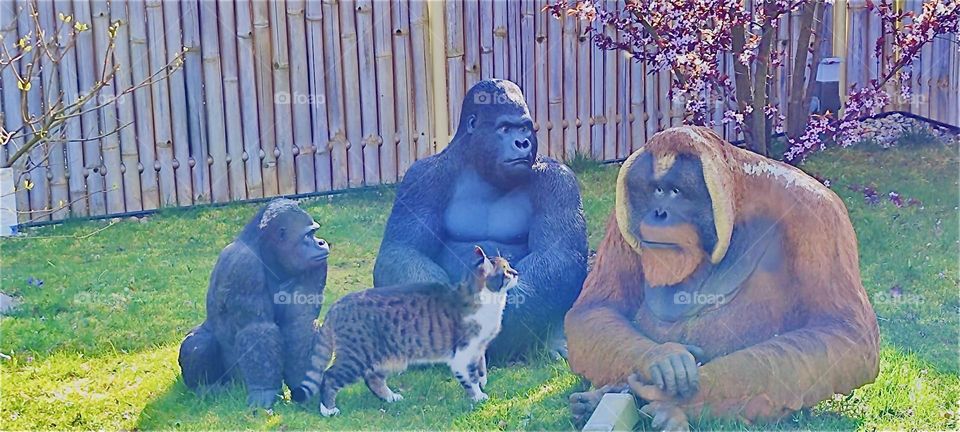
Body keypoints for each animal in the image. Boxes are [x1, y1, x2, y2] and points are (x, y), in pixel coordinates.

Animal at [177, 198, 330, 409]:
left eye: (314, 233)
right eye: (308, 235)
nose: (321, 242)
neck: (269, 255)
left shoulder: (316, 265)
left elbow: (299, 324)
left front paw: (305, 387)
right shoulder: (244, 268)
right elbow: (257, 329)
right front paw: (264, 391)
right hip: (234, 381)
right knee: (199, 343)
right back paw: (206, 388)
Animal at [372, 79, 589, 361]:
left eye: (524, 128)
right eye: (505, 128)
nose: (522, 142)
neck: (477, 163)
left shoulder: (559, 181)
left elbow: (559, 254)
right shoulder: (420, 178)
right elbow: (401, 250)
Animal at [565, 126, 879, 429]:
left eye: (676, 191)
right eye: (655, 190)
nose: (658, 212)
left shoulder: (818, 215)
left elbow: (843, 333)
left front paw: (680, 391)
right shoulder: (619, 224)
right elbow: (593, 310)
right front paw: (663, 359)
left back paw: (668, 415)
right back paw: (599, 398)